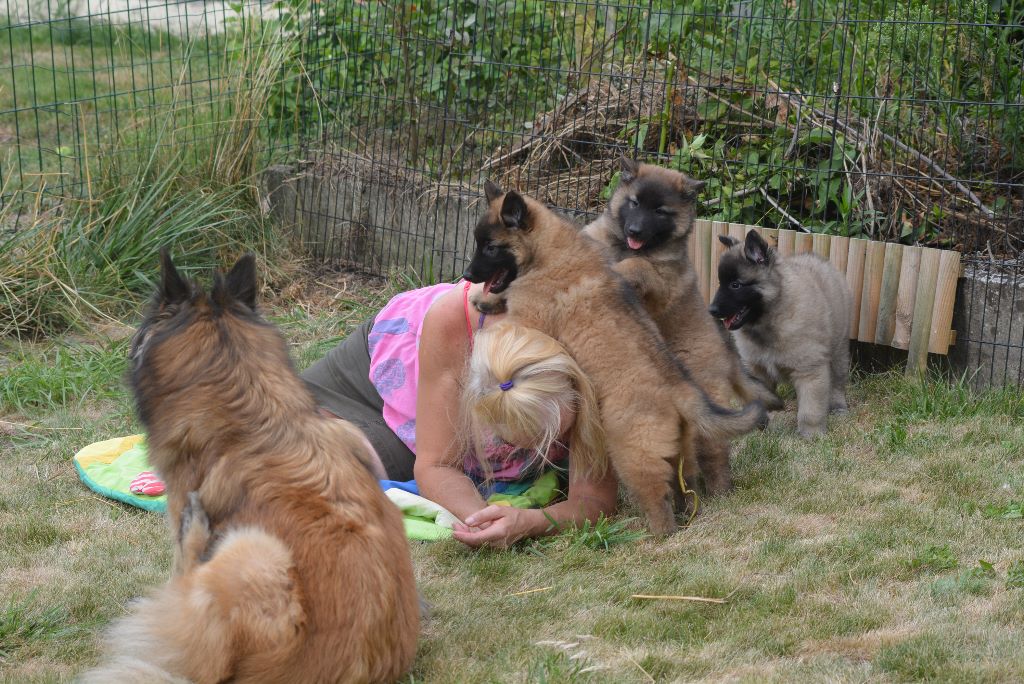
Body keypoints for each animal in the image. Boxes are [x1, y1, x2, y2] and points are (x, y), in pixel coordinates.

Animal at [460, 183, 765, 532]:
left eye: (490, 248)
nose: (467, 274)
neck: (547, 252)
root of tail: (681, 390)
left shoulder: (528, 320)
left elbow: (508, 314)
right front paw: (485, 298)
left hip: (633, 452)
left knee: (657, 498)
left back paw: (658, 534)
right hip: (680, 448)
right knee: (685, 484)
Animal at [708, 227, 851, 436]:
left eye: (736, 285)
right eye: (720, 283)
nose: (711, 310)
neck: (771, 318)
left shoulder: (809, 370)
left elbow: (810, 409)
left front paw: (812, 435)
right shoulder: (757, 371)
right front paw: (759, 427)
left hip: (838, 351)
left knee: (838, 382)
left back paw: (839, 406)